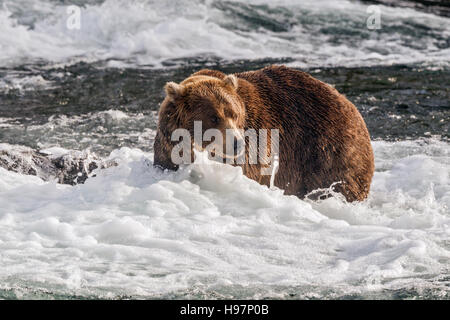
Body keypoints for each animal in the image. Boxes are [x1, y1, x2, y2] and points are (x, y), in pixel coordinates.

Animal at [153, 64, 374, 202]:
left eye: (234, 114)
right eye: (214, 117)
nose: (237, 143)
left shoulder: (257, 144)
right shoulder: (168, 146)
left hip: (329, 152)